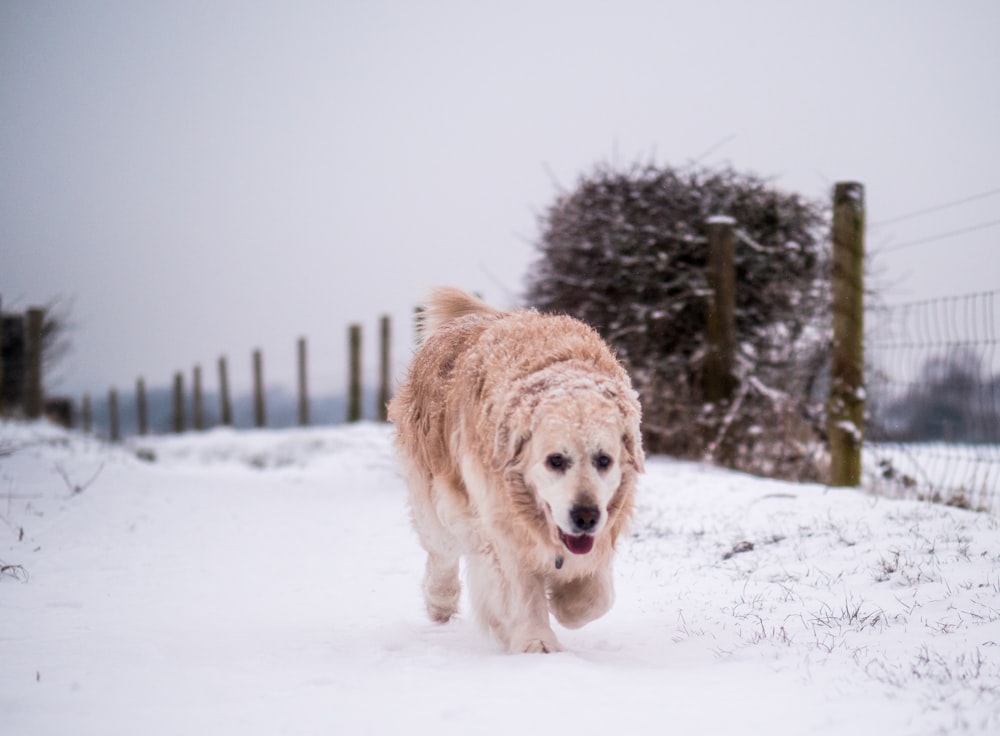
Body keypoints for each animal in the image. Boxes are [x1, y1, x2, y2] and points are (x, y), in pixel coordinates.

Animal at [386, 290, 644, 652]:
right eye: (555, 460)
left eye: (604, 460)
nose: (585, 516)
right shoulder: (500, 523)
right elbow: (520, 590)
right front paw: (537, 642)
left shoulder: (606, 524)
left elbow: (596, 598)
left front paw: (566, 602)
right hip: (436, 499)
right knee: (441, 552)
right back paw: (441, 601)